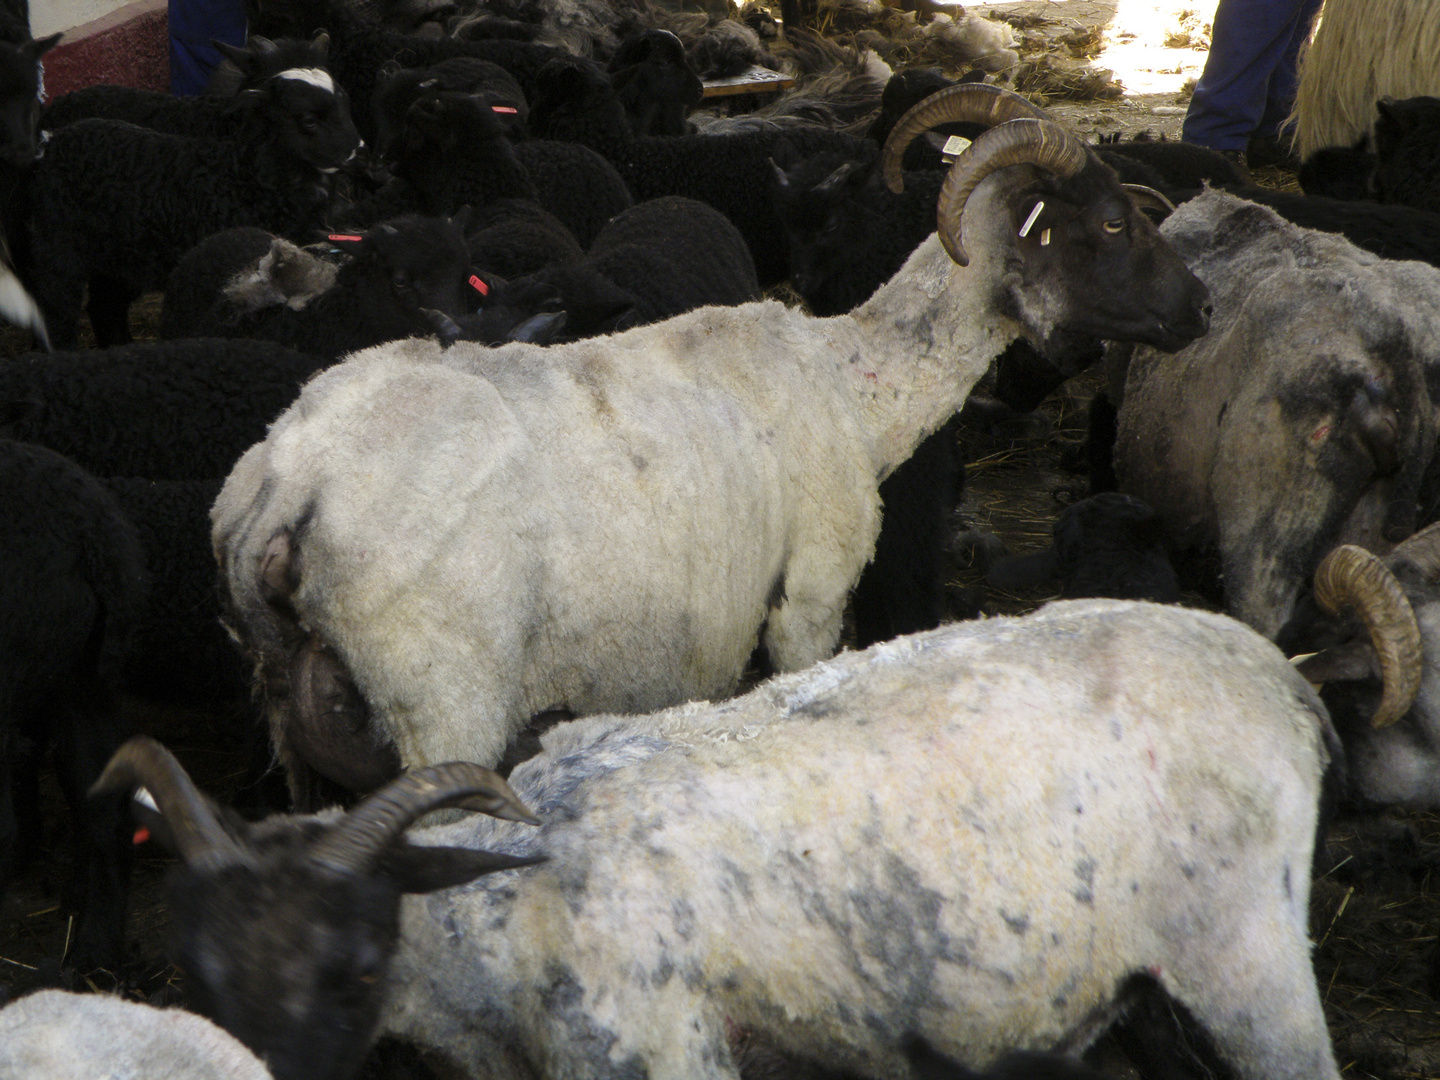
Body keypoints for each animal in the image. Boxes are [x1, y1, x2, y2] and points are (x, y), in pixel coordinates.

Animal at [95, 601, 1342, 1080]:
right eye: (198, 975)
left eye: (352, 968)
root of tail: (1280, 673)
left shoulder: (665, 1050)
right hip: (1139, 984)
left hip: (1248, 956)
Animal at [208, 82, 1209, 794]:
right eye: (1112, 220)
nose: (1200, 307)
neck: (854, 382)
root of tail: (285, 488)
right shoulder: (810, 596)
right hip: (441, 701)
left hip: (294, 716)